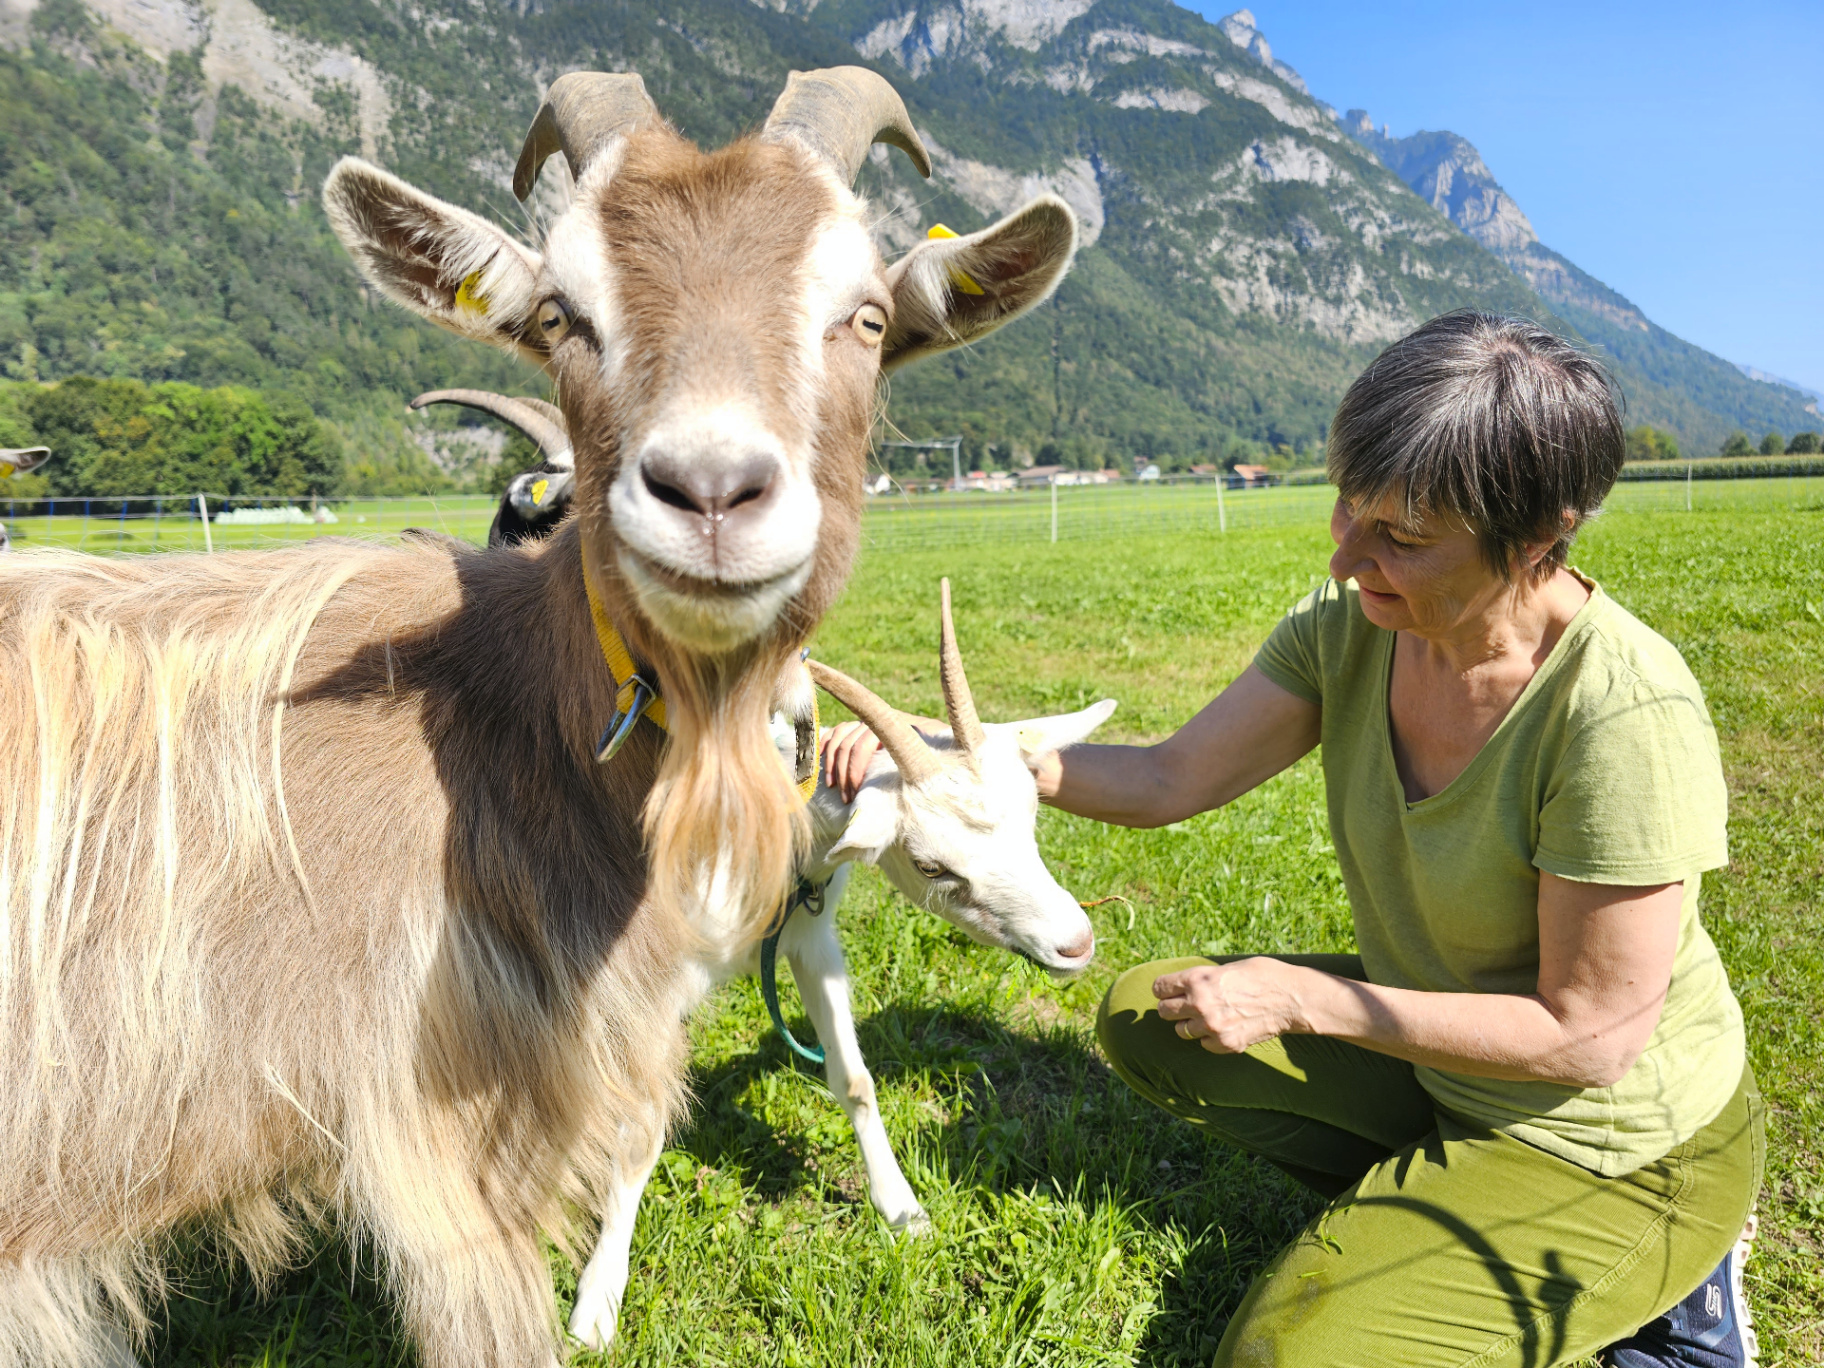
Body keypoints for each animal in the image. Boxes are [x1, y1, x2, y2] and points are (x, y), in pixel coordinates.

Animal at [568, 583, 1114, 1348]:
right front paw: (597, 1301)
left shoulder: (809, 939)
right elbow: (641, 1121)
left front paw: (902, 1209)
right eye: (930, 865)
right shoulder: (654, 981)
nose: (1075, 943)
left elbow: (853, 1079)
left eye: (1034, 814)